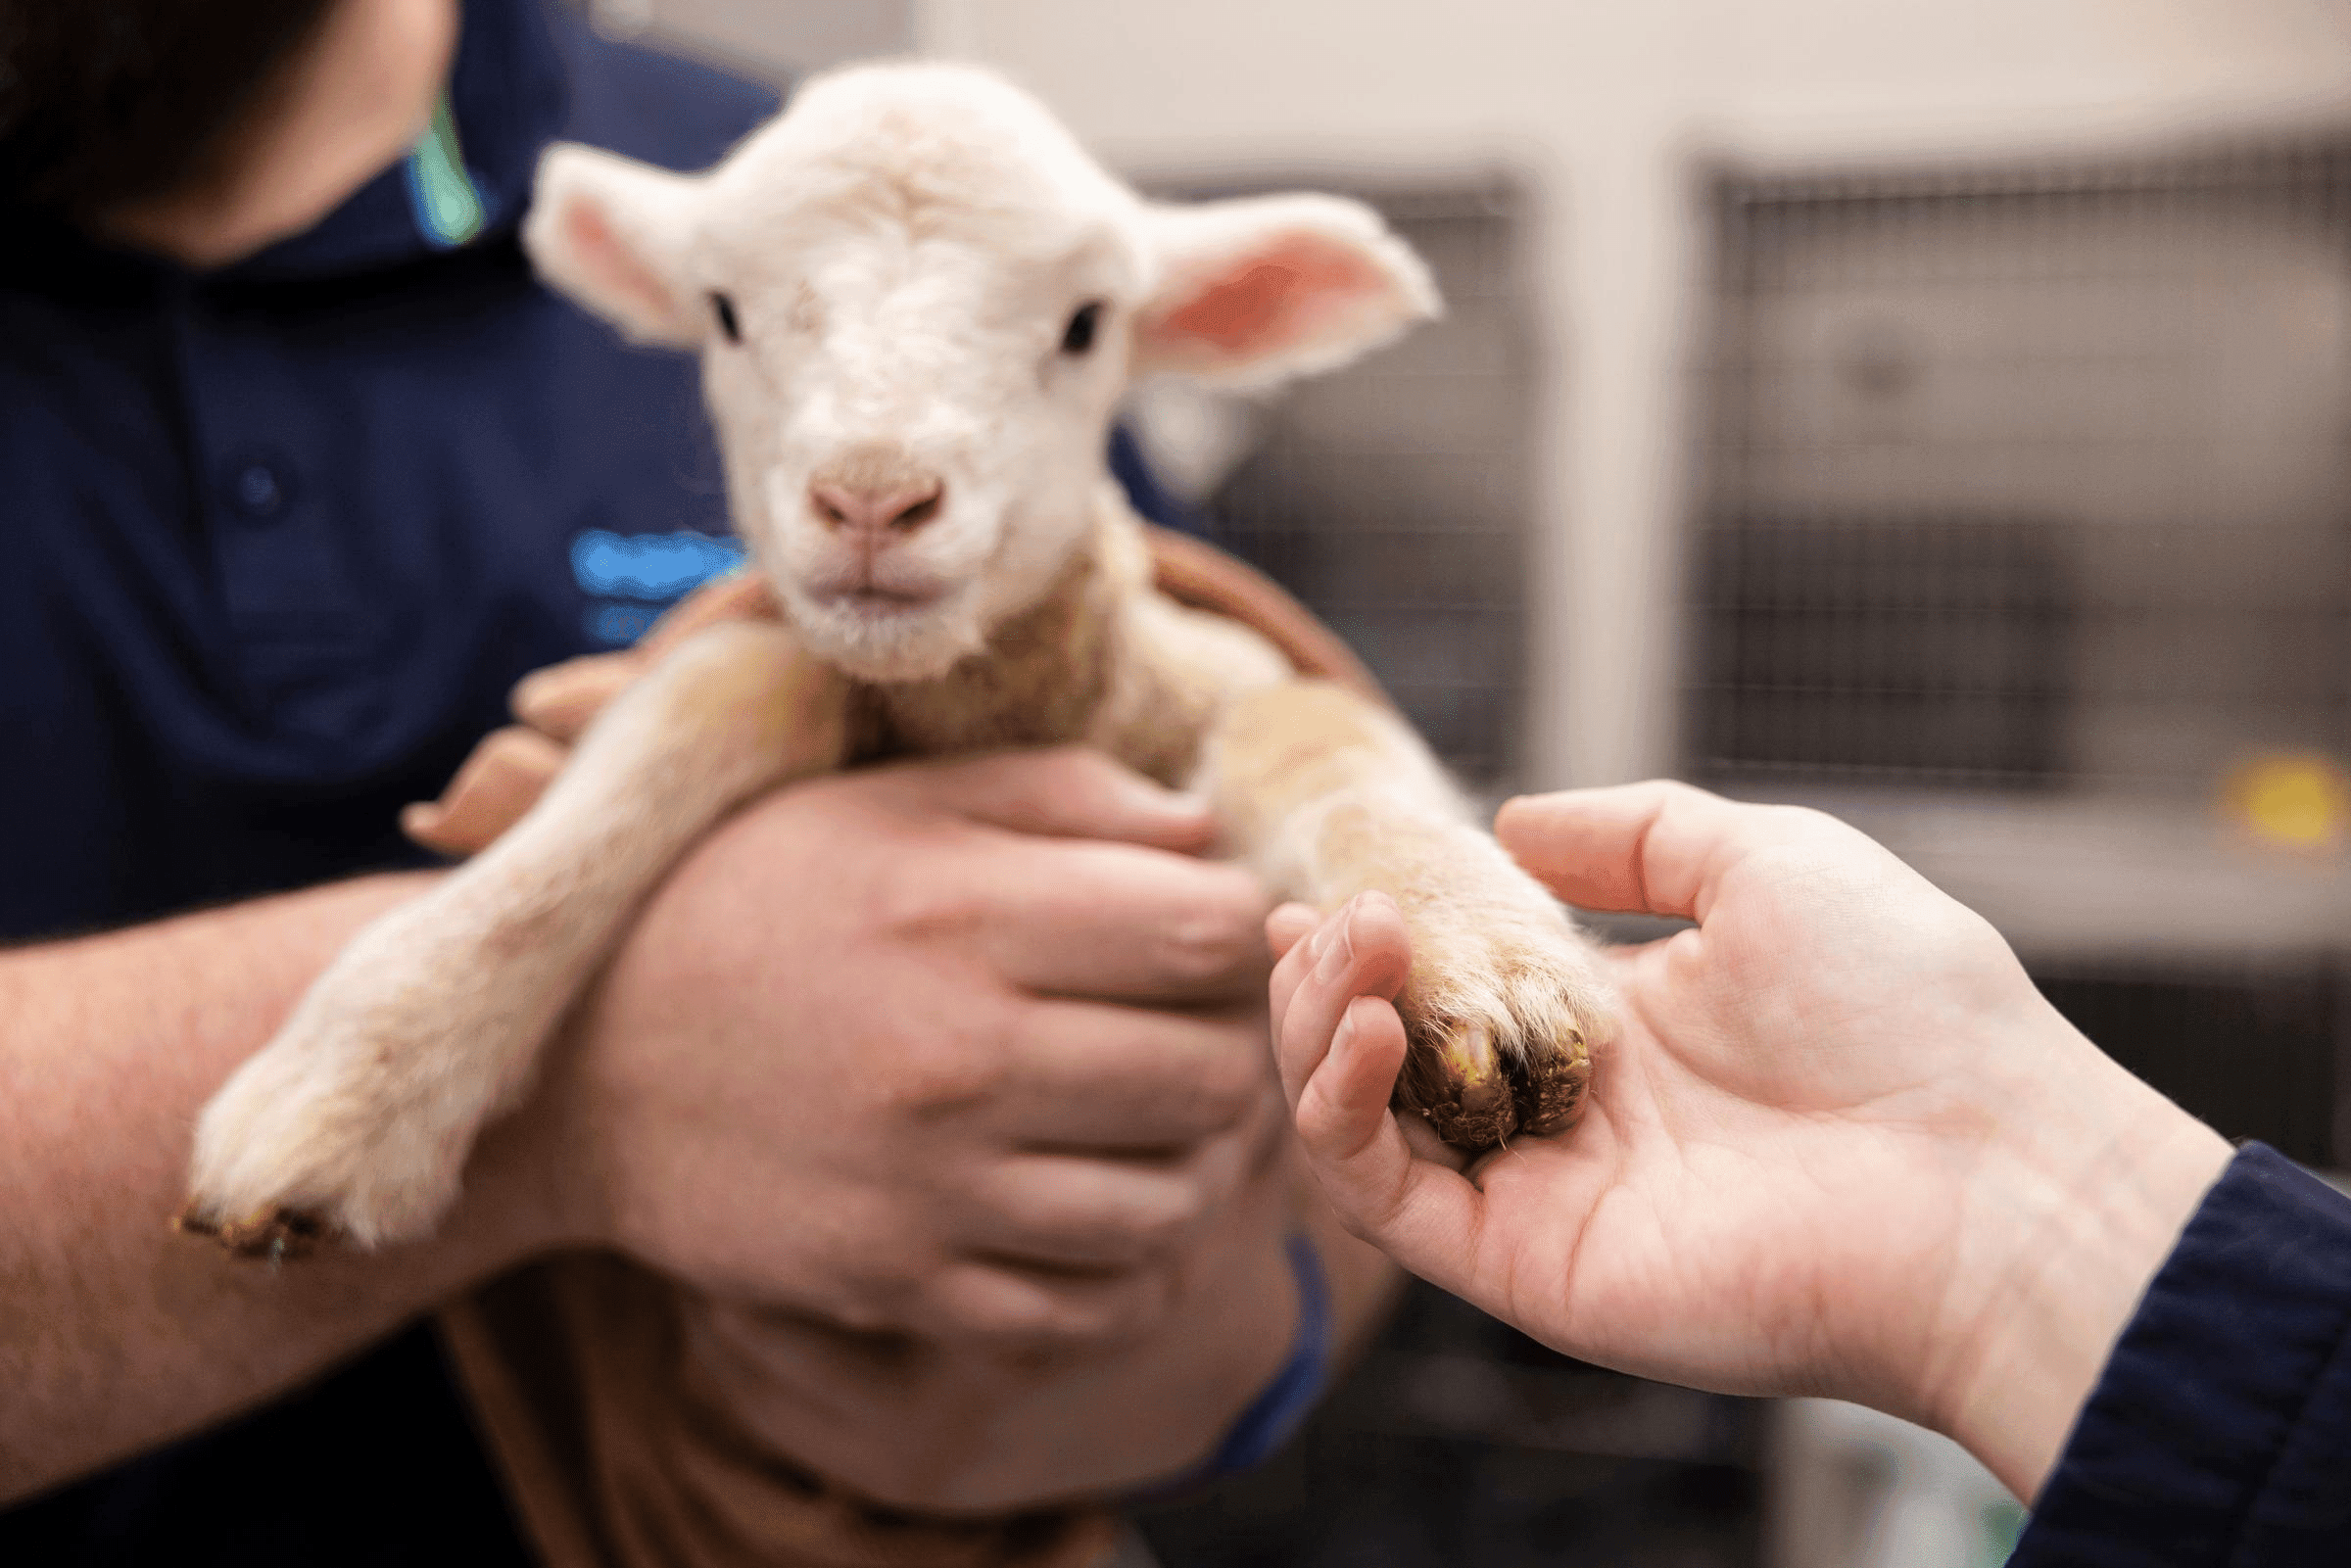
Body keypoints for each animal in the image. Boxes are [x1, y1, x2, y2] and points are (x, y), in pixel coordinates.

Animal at [177, 59, 1610, 1259]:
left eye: (1088, 325)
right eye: (725, 312)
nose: (871, 499)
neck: (981, 703)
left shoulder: (1222, 674)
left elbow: (1313, 733)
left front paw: (1469, 952)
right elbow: (687, 719)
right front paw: (336, 1096)